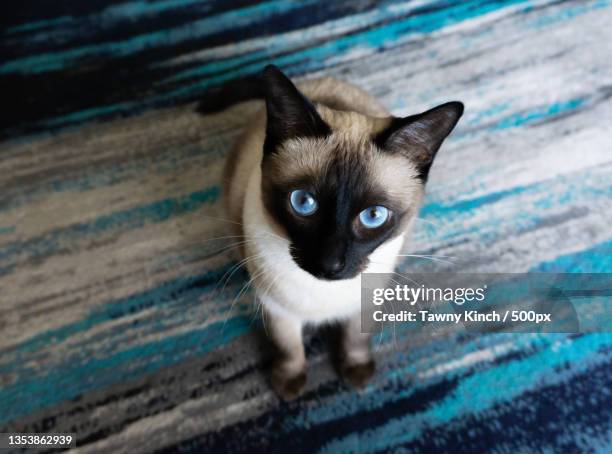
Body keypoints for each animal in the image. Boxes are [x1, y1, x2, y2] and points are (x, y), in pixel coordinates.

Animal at [203, 65, 462, 400]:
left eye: (373, 216)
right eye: (303, 202)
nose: (330, 264)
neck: (324, 298)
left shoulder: (364, 303)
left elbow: (355, 339)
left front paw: (356, 373)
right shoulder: (277, 308)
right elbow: (289, 348)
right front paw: (289, 385)